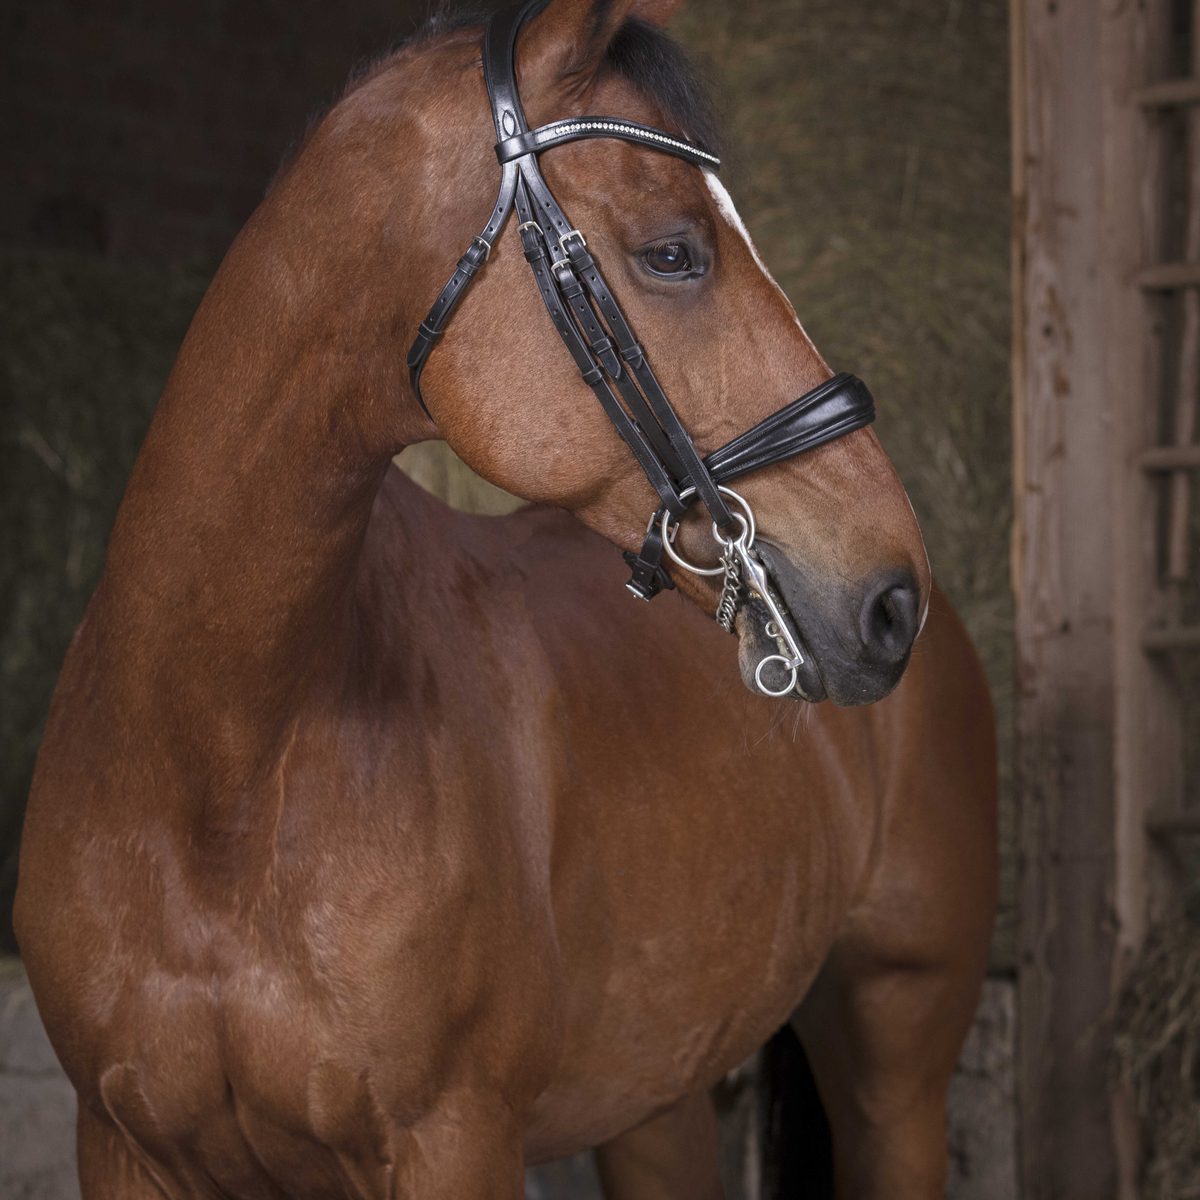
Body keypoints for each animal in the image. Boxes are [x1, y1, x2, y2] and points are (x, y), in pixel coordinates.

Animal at [15, 1, 997, 1196]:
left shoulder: (454, 1142)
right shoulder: (120, 1145)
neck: (212, 772)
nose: (891, 596)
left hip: (897, 1062)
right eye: (673, 251)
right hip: (657, 1096)